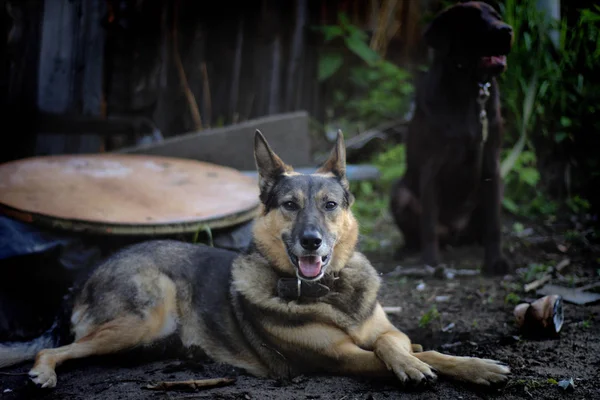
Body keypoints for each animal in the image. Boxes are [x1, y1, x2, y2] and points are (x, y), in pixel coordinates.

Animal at [0, 130, 510, 388]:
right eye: (289, 205)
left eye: (330, 204)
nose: (311, 243)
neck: (329, 292)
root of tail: (86, 277)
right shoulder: (339, 358)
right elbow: (385, 356)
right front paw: (412, 369)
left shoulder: (388, 330)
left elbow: (412, 346)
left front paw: (476, 367)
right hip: (140, 318)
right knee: (53, 349)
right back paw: (43, 372)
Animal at [392, 0, 512, 276]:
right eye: (473, 21)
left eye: (496, 15)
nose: (507, 30)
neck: (470, 88)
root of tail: (454, 234)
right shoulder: (431, 168)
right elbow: (428, 224)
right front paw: (431, 263)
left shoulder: (492, 164)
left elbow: (495, 224)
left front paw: (495, 261)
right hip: (400, 194)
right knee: (419, 231)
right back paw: (408, 250)